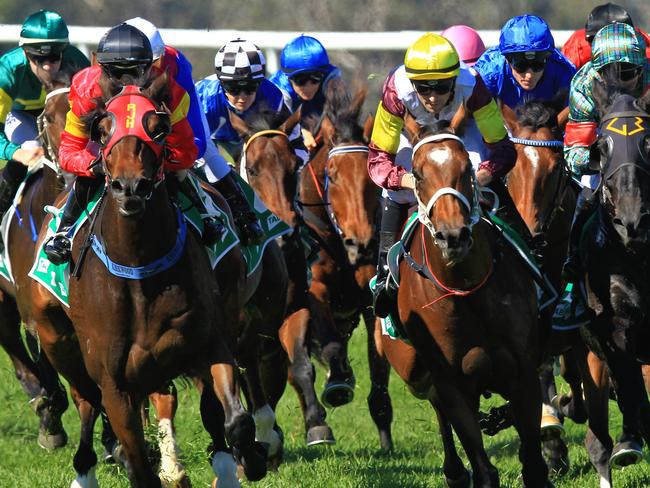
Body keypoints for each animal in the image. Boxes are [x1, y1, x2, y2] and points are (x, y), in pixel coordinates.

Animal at [29, 78, 268, 486]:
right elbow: (138, 462)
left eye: (158, 128)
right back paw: (85, 467)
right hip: (57, 340)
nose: (130, 187)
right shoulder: (115, 385)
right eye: (102, 129)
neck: (139, 271)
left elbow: (235, 419)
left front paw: (250, 459)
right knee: (85, 401)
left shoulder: (209, 343)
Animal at [229, 107, 334, 446]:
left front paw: (316, 424)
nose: (285, 232)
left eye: (294, 166)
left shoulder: (293, 308)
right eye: (252, 169)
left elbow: (298, 364)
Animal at [296, 86, 392, 452]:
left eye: (371, 177)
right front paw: (337, 383)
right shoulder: (315, 289)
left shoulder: (371, 298)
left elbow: (379, 364)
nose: (361, 243)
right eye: (333, 175)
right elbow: (331, 346)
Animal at [382, 118, 548, 488]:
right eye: (418, 173)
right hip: (411, 368)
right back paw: (454, 472)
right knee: (437, 408)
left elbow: (533, 462)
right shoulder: (451, 383)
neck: (466, 289)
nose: (452, 236)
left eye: (466, 168)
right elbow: (482, 466)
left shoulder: (524, 371)